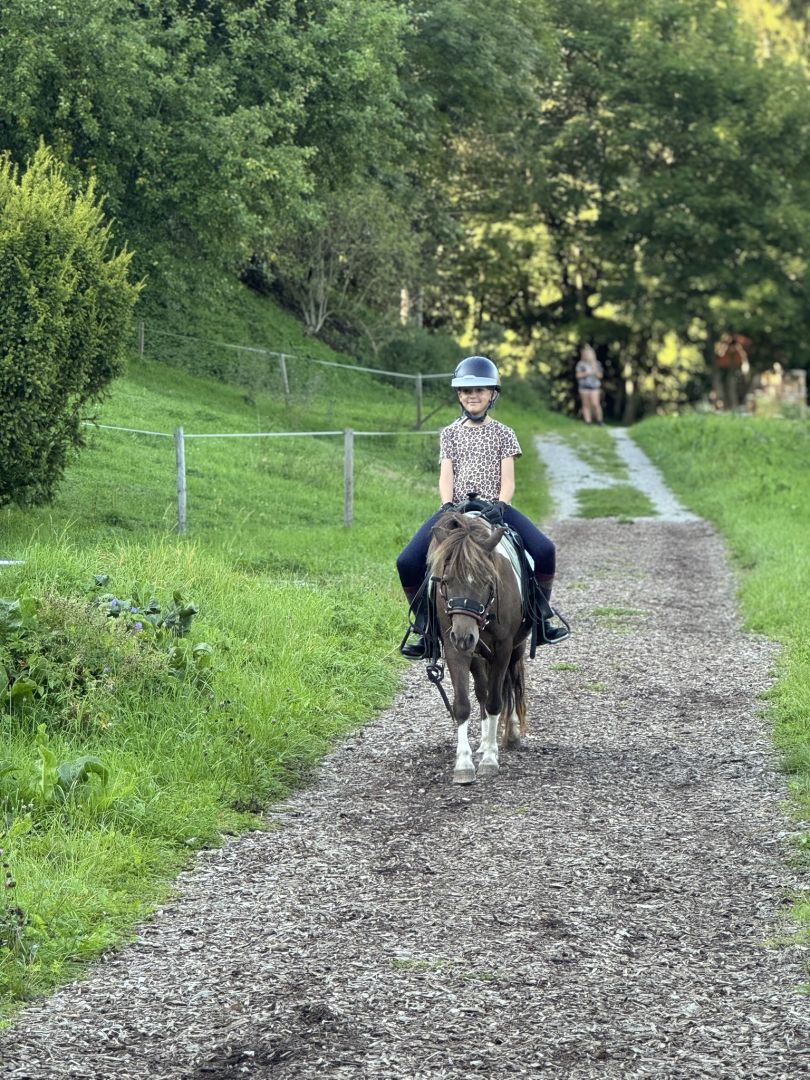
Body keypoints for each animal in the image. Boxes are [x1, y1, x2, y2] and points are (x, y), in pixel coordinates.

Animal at [427, 511, 529, 784]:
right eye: (446, 581)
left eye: (487, 581)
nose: (464, 636)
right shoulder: (455, 648)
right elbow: (463, 704)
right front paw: (464, 764)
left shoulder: (503, 648)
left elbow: (495, 701)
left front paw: (490, 760)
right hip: (477, 654)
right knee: (483, 689)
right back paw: (483, 742)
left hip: (514, 648)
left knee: (510, 683)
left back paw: (509, 735)